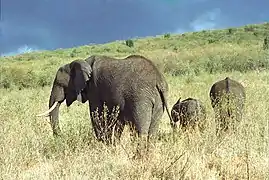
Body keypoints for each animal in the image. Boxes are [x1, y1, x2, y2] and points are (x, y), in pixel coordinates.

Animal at [36, 54, 173, 152]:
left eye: (60, 85)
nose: (60, 136)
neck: (83, 62)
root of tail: (159, 81)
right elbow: (116, 121)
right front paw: (112, 146)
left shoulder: (94, 89)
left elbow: (96, 115)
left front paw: (103, 145)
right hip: (158, 101)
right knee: (152, 132)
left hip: (141, 98)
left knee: (141, 131)